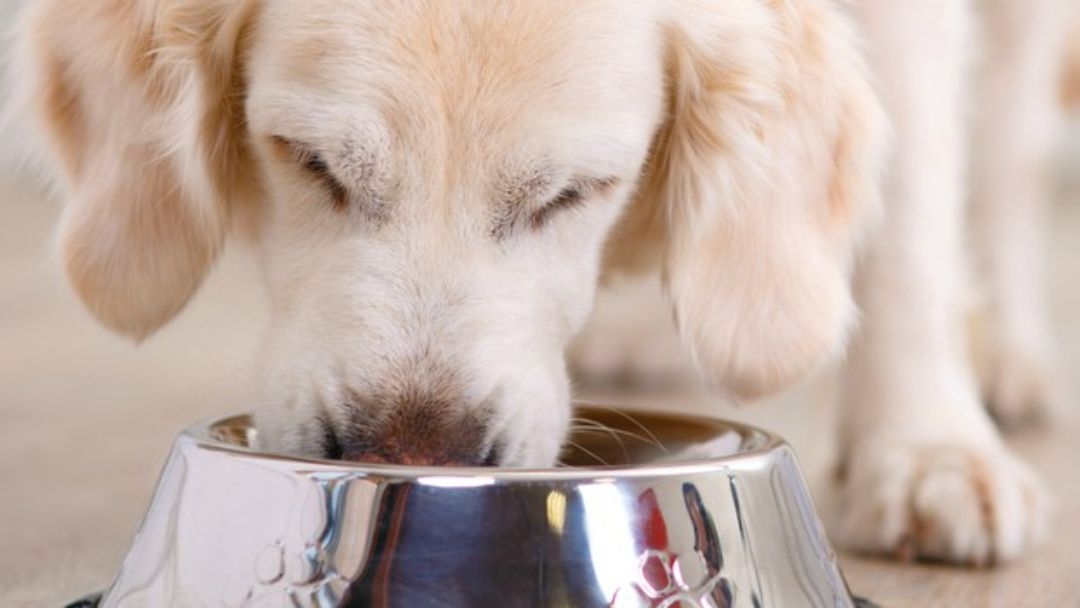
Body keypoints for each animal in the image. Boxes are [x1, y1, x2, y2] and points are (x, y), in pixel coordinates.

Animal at [6, 1, 1071, 565]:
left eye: (572, 194)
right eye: (311, 163)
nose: (413, 454)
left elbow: (914, 215)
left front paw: (925, 448)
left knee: (1008, 144)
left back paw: (1010, 357)